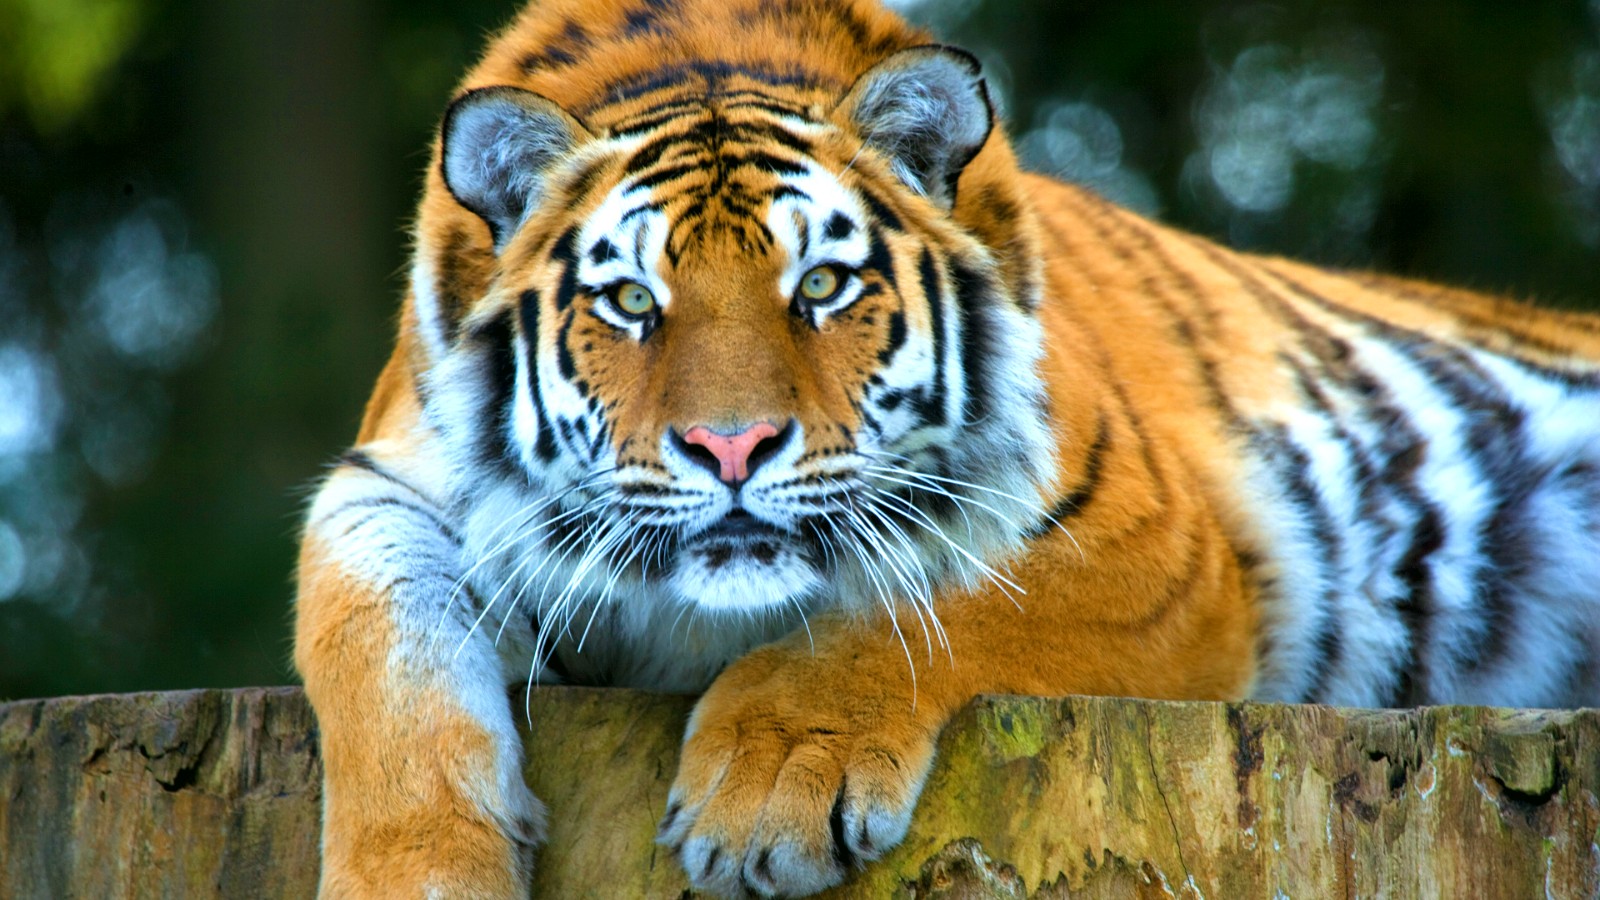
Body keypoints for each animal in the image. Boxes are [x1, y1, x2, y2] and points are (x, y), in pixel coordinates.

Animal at [292, 0, 1600, 896]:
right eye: (629, 304)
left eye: (821, 286)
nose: (730, 445)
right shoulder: (382, 486)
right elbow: (382, 662)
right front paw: (415, 877)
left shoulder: (1150, 539)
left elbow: (929, 608)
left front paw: (768, 783)